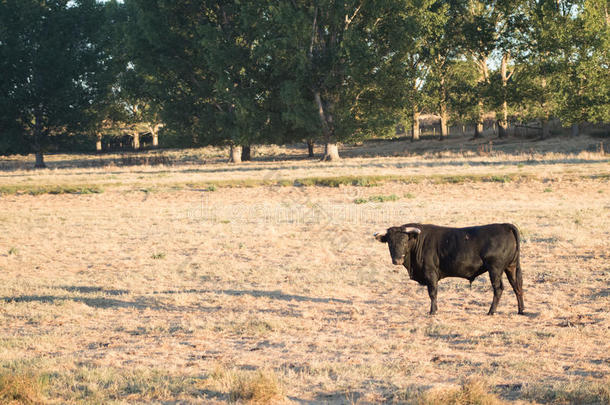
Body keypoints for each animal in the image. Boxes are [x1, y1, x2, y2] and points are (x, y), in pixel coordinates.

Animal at [376, 223, 524, 314]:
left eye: (404, 241)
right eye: (390, 242)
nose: (397, 260)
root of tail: (504, 225)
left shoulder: (431, 274)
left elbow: (432, 293)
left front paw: (432, 311)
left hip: (495, 269)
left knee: (499, 288)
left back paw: (491, 311)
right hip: (511, 267)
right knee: (517, 286)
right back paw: (521, 310)